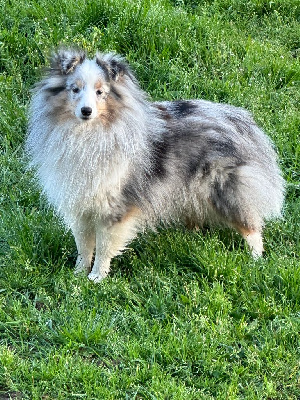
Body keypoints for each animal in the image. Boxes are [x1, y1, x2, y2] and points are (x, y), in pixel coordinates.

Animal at [27, 48, 284, 282]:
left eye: (101, 92)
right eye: (75, 89)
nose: (86, 111)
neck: (90, 134)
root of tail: (243, 121)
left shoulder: (114, 208)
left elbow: (104, 246)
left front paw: (97, 277)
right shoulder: (80, 205)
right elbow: (83, 244)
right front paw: (78, 274)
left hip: (224, 188)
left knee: (251, 226)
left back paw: (256, 260)